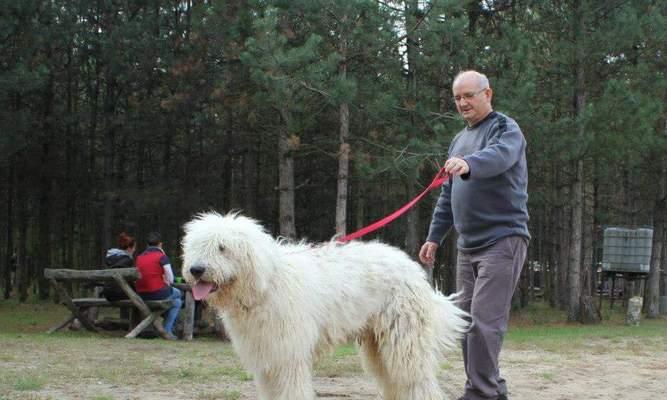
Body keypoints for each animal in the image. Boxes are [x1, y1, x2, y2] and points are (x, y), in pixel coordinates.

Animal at [180, 211, 468, 398]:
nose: (196, 269)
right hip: (378, 345)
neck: (265, 283)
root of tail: (414, 270)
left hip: (405, 342)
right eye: (196, 246)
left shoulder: (288, 356)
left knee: (417, 383)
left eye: (222, 247)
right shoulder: (267, 357)